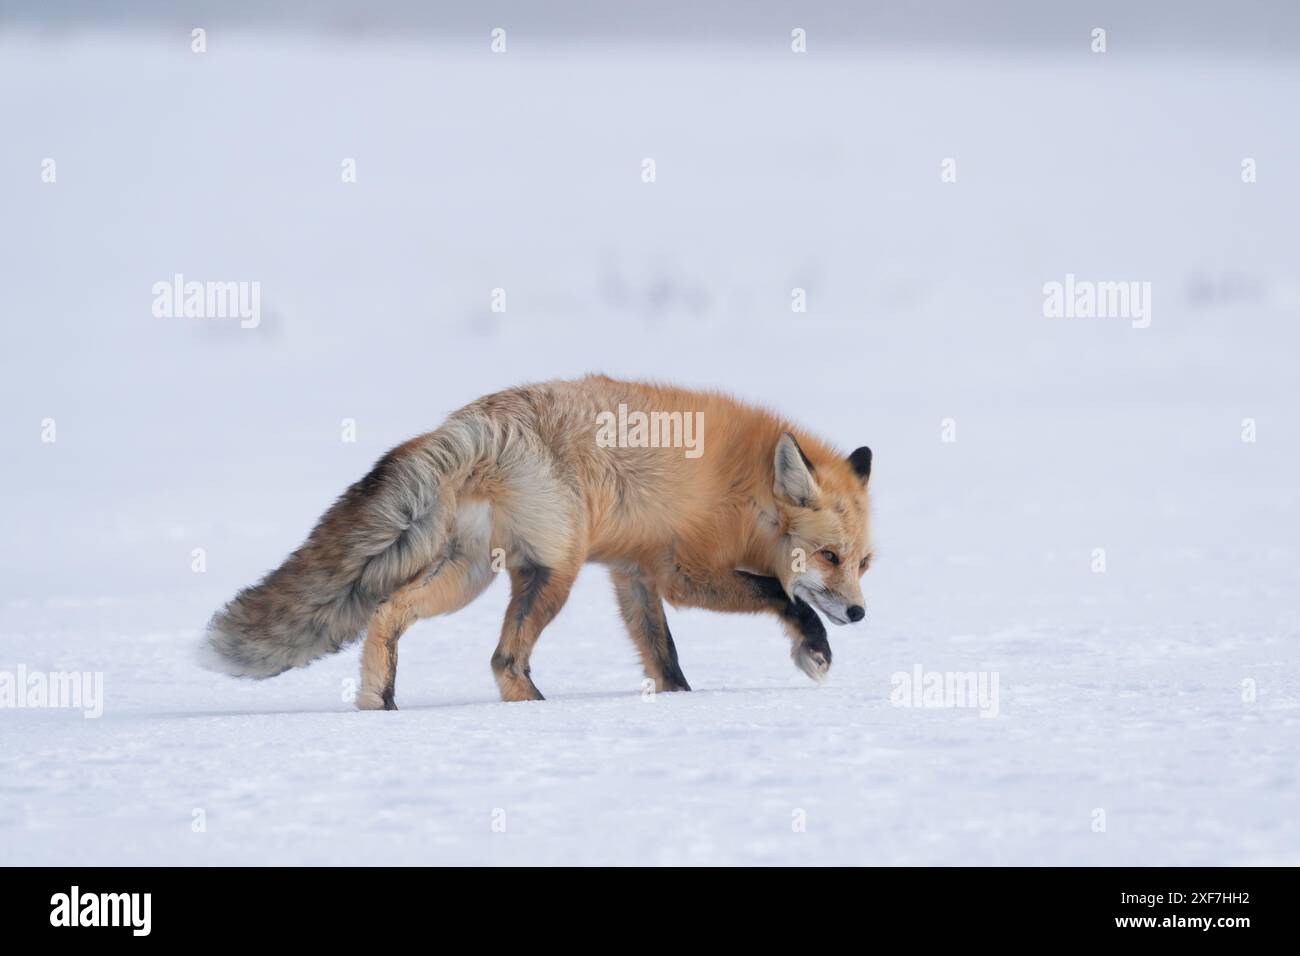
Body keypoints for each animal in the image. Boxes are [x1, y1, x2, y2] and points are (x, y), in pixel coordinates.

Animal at [200, 375, 874, 709]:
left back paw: (379, 702)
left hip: (469, 576)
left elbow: (664, 656)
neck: (747, 493)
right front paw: (814, 648)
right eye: (829, 557)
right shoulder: (684, 572)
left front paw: (677, 707)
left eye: (865, 563)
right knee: (504, 659)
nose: (860, 613)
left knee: (388, 613)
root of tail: (474, 424)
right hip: (553, 572)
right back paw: (536, 713)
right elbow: (782, 597)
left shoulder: (633, 574)